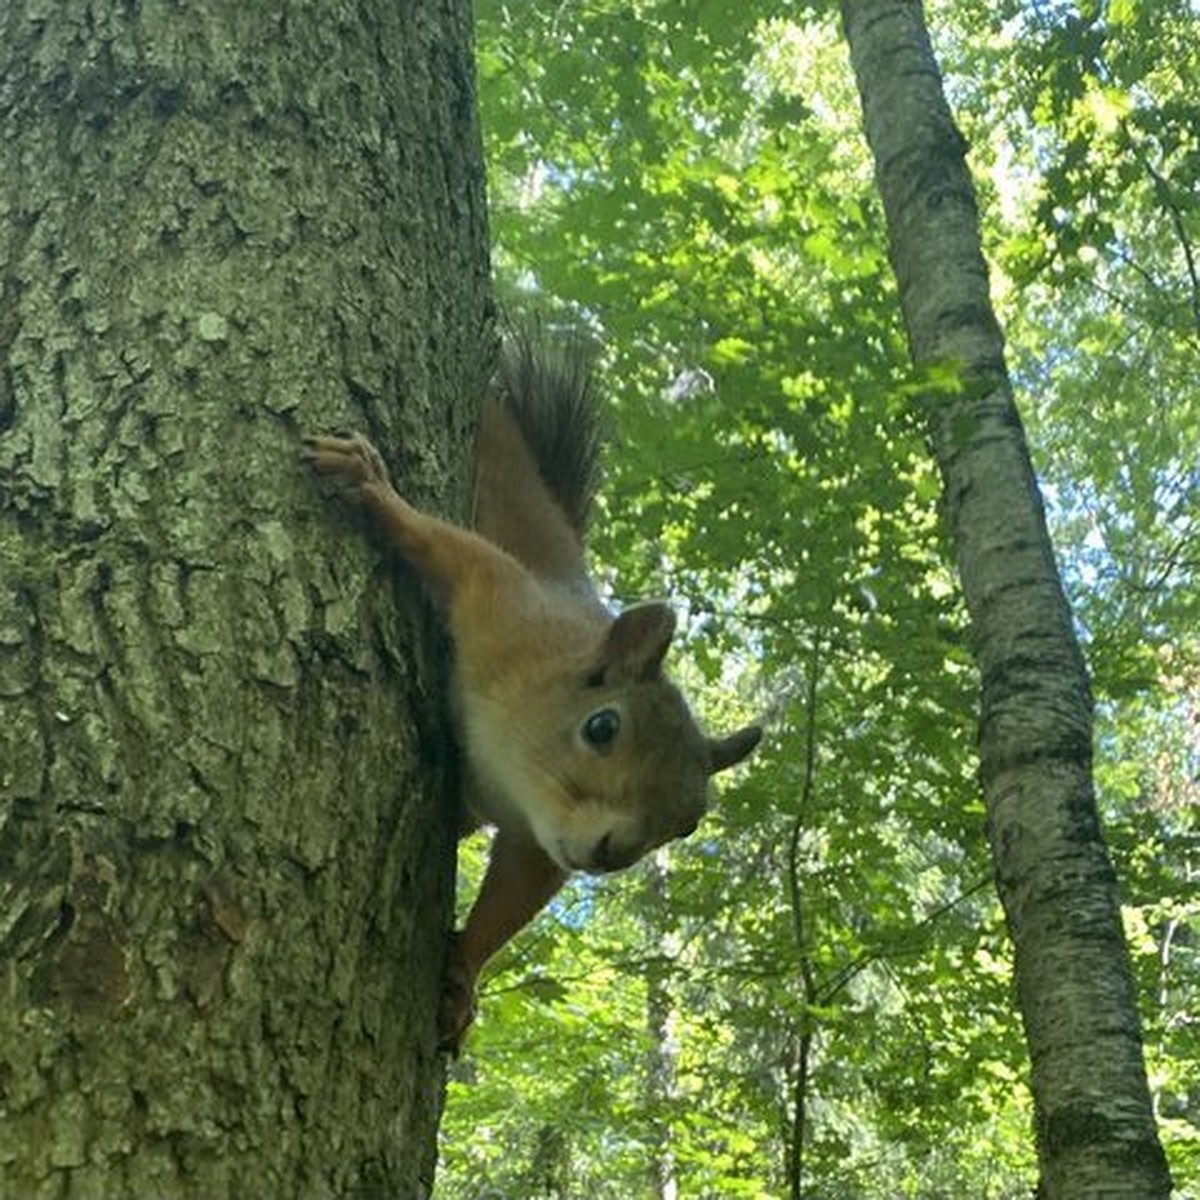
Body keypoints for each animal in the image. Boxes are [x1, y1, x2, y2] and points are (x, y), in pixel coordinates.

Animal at [304, 331, 763, 1051]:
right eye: (602, 727)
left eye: (690, 822)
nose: (611, 854)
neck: (511, 763)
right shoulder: (504, 602)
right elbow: (441, 544)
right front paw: (371, 486)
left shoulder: (537, 840)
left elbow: (511, 900)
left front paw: (461, 977)